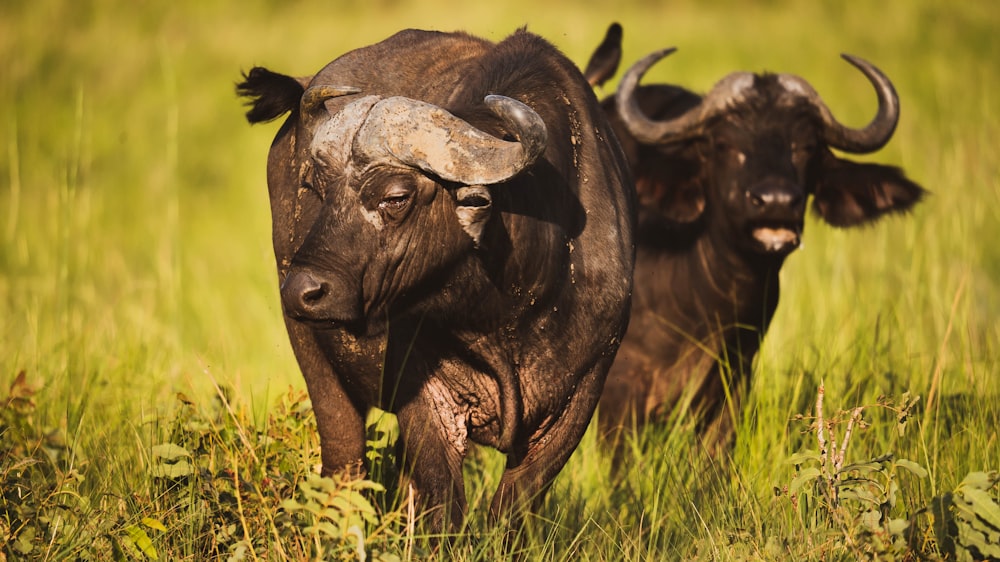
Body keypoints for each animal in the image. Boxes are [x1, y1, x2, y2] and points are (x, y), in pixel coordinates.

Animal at [236, 29, 632, 528]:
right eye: (316, 190)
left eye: (396, 197)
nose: (301, 290)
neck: (507, 308)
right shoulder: (426, 396)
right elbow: (443, 503)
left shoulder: (578, 398)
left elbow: (513, 509)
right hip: (314, 354)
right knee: (344, 462)